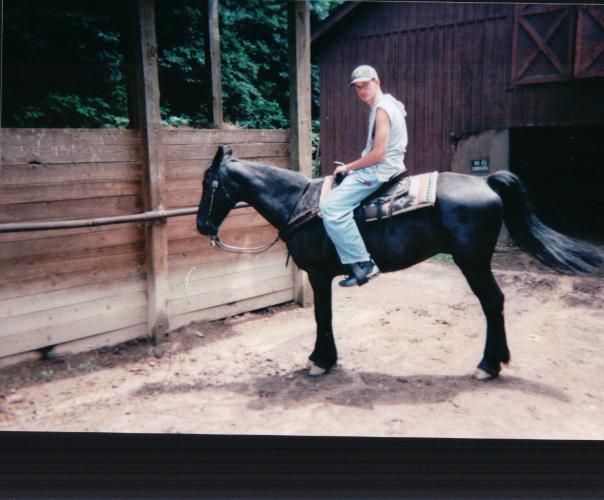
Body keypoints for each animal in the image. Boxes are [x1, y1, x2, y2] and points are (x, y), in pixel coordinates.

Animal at [197, 146, 600, 380]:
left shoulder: (318, 274)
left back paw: (488, 365)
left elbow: (322, 316)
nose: (201, 225)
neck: (299, 201)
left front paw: (320, 361)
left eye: (209, 183)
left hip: (472, 262)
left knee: (493, 302)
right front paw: (326, 359)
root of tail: (486, 181)